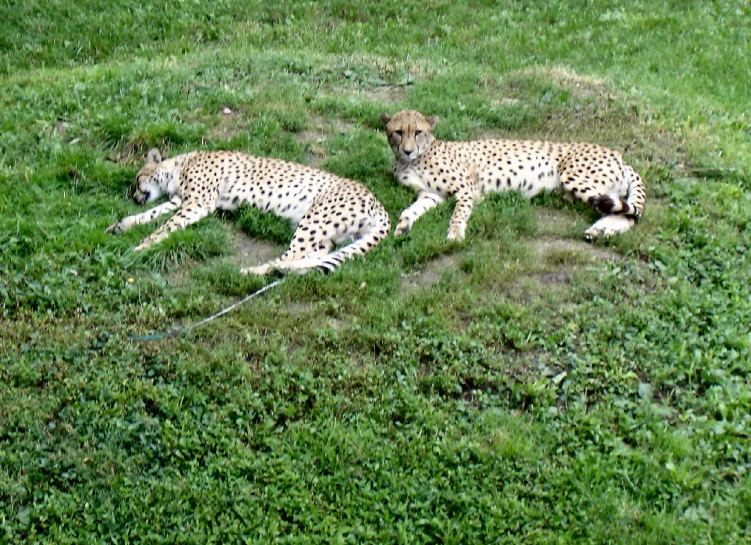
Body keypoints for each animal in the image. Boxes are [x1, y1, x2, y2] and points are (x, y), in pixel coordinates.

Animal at [108, 149, 390, 274]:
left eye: (137, 180)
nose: (135, 197)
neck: (180, 165)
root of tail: (378, 202)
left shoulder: (197, 203)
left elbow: (164, 227)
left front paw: (140, 247)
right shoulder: (181, 201)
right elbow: (153, 215)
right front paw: (121, 225)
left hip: (315, 218)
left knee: (291, 255)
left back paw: (251, 272)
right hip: (326, 234)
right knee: (313, 256)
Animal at [382, 109, 648, 239]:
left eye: (418, 132)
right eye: (398, 132)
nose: (407, 150)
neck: (411, 161)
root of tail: (619, 155)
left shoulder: (468, 190)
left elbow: (458, 213)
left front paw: (456, 233)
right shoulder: (430, 195)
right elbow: (410, 210)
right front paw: (403, 226)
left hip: (576, 180)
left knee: (630, 215)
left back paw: (603, 230)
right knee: (624, 212)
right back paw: (602, 230)